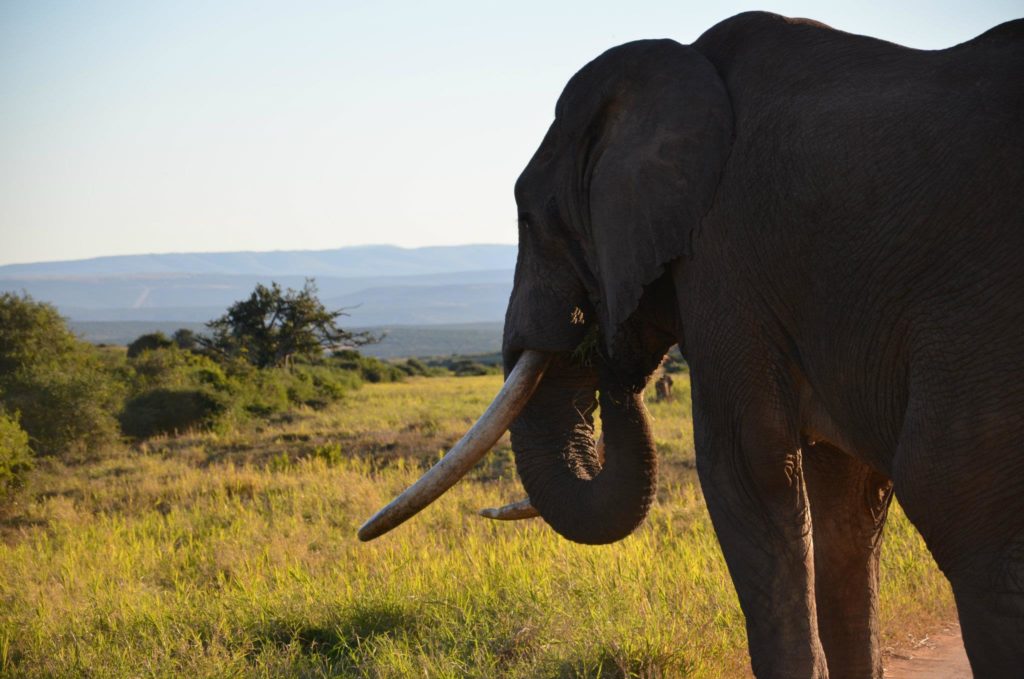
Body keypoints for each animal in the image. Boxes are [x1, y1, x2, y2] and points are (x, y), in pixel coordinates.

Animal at [362, 11, 1024, 679]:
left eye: (528, 217)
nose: (600, 338)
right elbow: (845, 496)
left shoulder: (726, 255)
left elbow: (747, 466)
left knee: (954, 499)